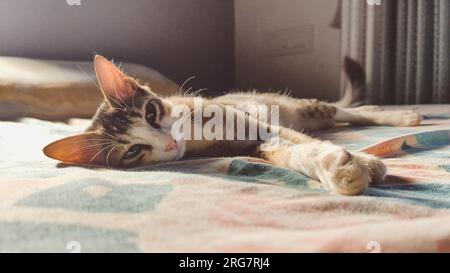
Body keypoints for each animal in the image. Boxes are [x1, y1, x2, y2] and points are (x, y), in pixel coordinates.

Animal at [42, 55, 422, 194]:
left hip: (301, 107)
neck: (194, 136)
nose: (168, 144)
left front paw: (367, 160)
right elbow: (293, 153)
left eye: (150, 113)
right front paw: (339, 168)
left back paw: (400, 115)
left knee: (345, 111)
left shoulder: (257, 124)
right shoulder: (254, 143)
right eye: (134, 151)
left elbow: (297, 140)